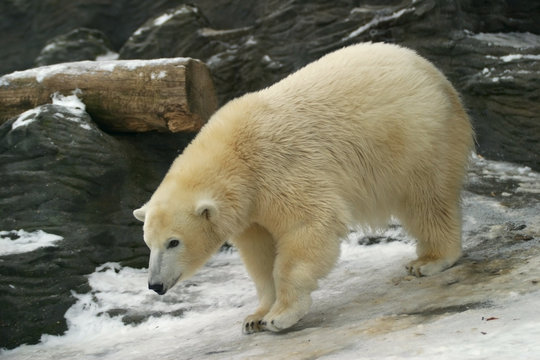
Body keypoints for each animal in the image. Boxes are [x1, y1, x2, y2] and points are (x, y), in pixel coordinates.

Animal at [134, 43, 472, 334]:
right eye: (149, 243)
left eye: (173, 242)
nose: (155, 285)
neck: (235, 156)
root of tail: (431, 70)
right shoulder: (251, 210)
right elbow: (260, 254)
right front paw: (255, 317)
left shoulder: (278, 169)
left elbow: (308, 225)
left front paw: (281, 315)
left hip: (417, 136)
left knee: (427, 198)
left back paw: (429, 261)